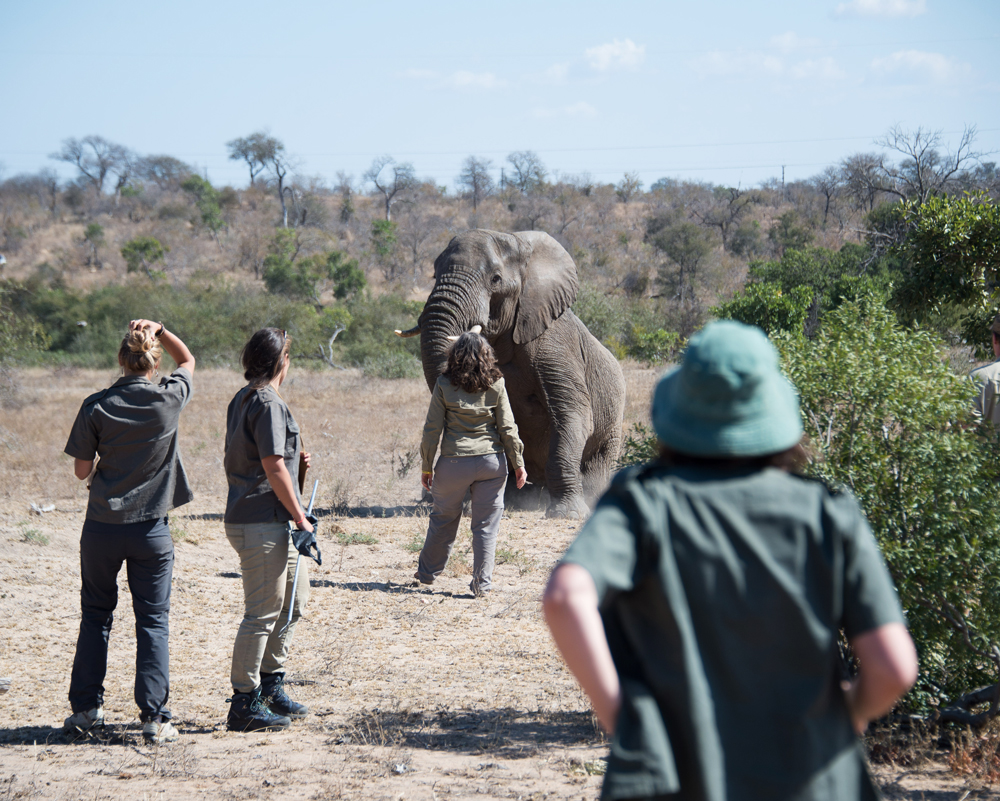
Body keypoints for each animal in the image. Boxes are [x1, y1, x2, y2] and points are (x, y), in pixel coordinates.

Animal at [396, 230, 624, 520]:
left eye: (495, 279)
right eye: (435, 275)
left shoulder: (557, 346)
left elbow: (572, 413)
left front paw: (568, 514)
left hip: (613, 423)